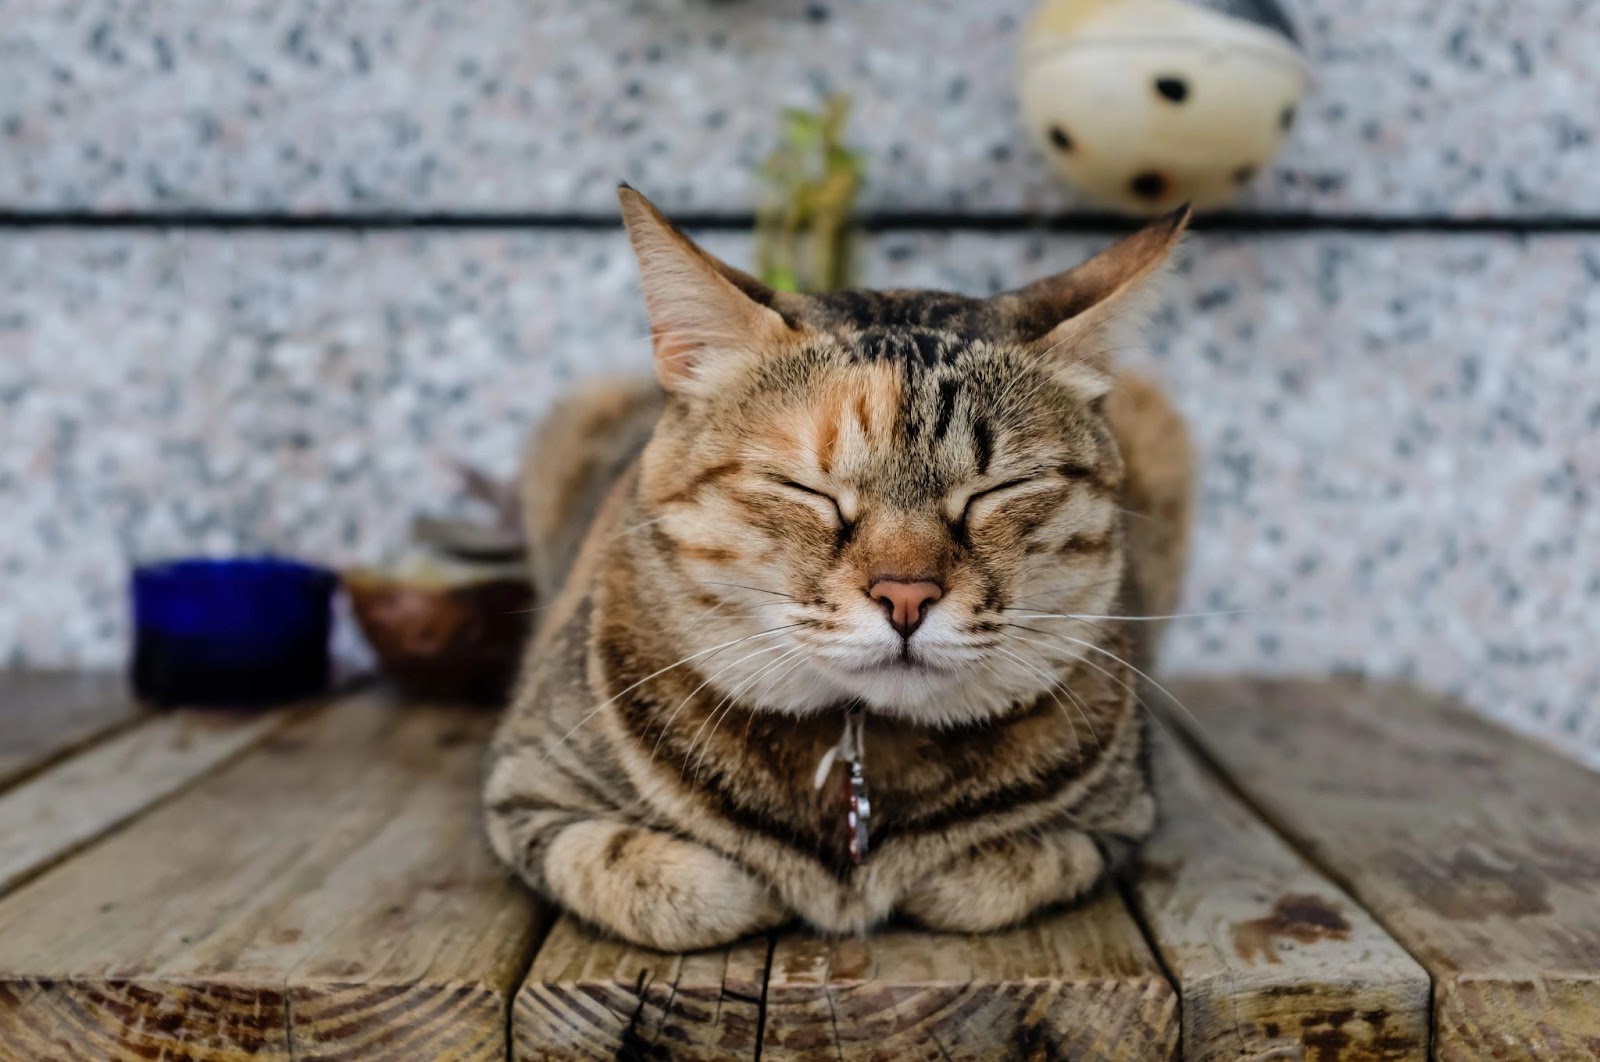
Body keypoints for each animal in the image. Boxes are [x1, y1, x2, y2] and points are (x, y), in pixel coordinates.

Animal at [480, 186, 1196, 946]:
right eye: (807, 490)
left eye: (997, 490)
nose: (907, 597)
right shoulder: (526, 790)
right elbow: (665, 882)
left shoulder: (1119, 818)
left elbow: (1004, 872)